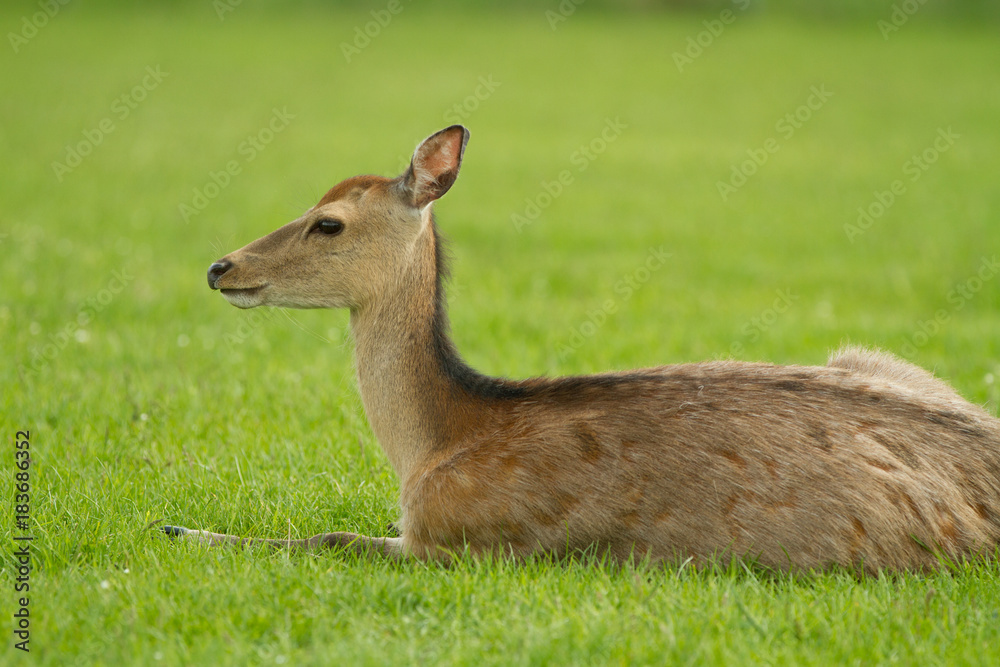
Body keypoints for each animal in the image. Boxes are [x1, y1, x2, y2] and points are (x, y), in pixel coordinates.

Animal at [164, 125, 1000, 576]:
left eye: (328, 221)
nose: (220, 266)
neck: (433, 447)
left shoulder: (464, 540)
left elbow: (332, 535)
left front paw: (179, 529)